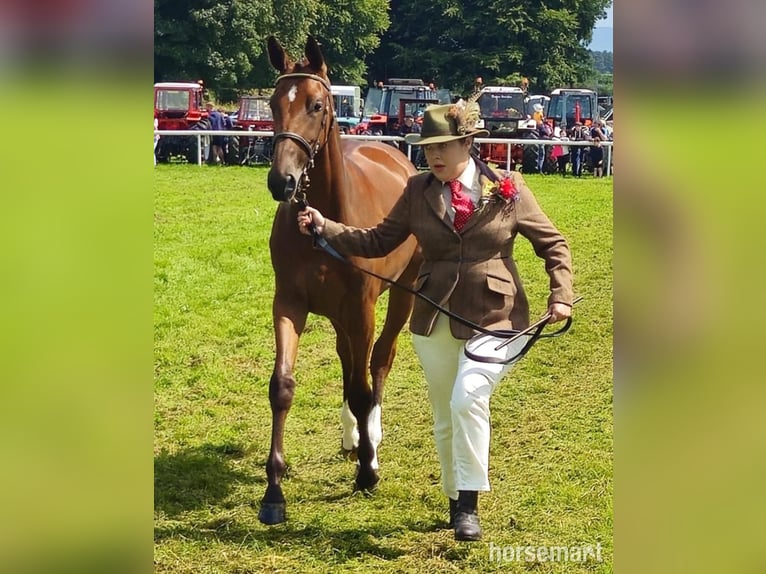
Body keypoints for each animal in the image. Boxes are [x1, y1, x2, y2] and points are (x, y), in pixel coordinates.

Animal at [258, 36, 423, 525]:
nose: (282, 181)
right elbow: (282, 387)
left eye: (316, 105)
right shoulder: (290, 304)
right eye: (273, 103)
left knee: (378, 361)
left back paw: (372, 439)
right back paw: (352, 436)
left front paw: (368, 471)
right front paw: (273, 490)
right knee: (349, 361)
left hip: (401, 296)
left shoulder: (362, 309)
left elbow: (365, 386)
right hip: (337, 313)